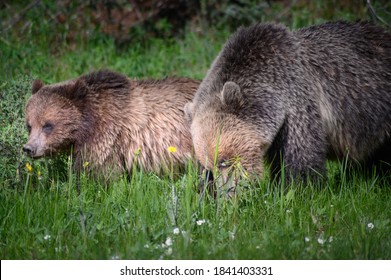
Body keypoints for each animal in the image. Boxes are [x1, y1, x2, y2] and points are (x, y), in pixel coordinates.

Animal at [185, 21, 391, 188]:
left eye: (224, 161)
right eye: (208, 165)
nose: (227, 188)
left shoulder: (299, 104)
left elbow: (300, 159)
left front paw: (294, 189)